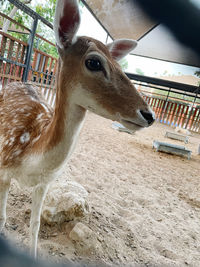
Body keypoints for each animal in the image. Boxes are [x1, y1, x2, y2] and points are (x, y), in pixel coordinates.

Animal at [0, 0, 155, 258]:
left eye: (119, 63)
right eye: (94, 62)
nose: (149, 115)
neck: (31, 155)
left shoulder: (45, 183)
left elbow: (35, 226)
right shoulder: (3, 170)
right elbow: (2, 218)